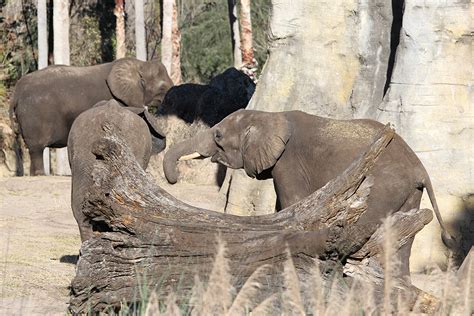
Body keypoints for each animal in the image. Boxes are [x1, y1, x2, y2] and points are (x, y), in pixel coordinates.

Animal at [10, 56, 173, 175]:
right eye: (162, 87)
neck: (139, 64)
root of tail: (16, 92)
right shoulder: (119, 101)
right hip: (34, 115)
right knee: (36, 148)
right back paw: (40, 174)